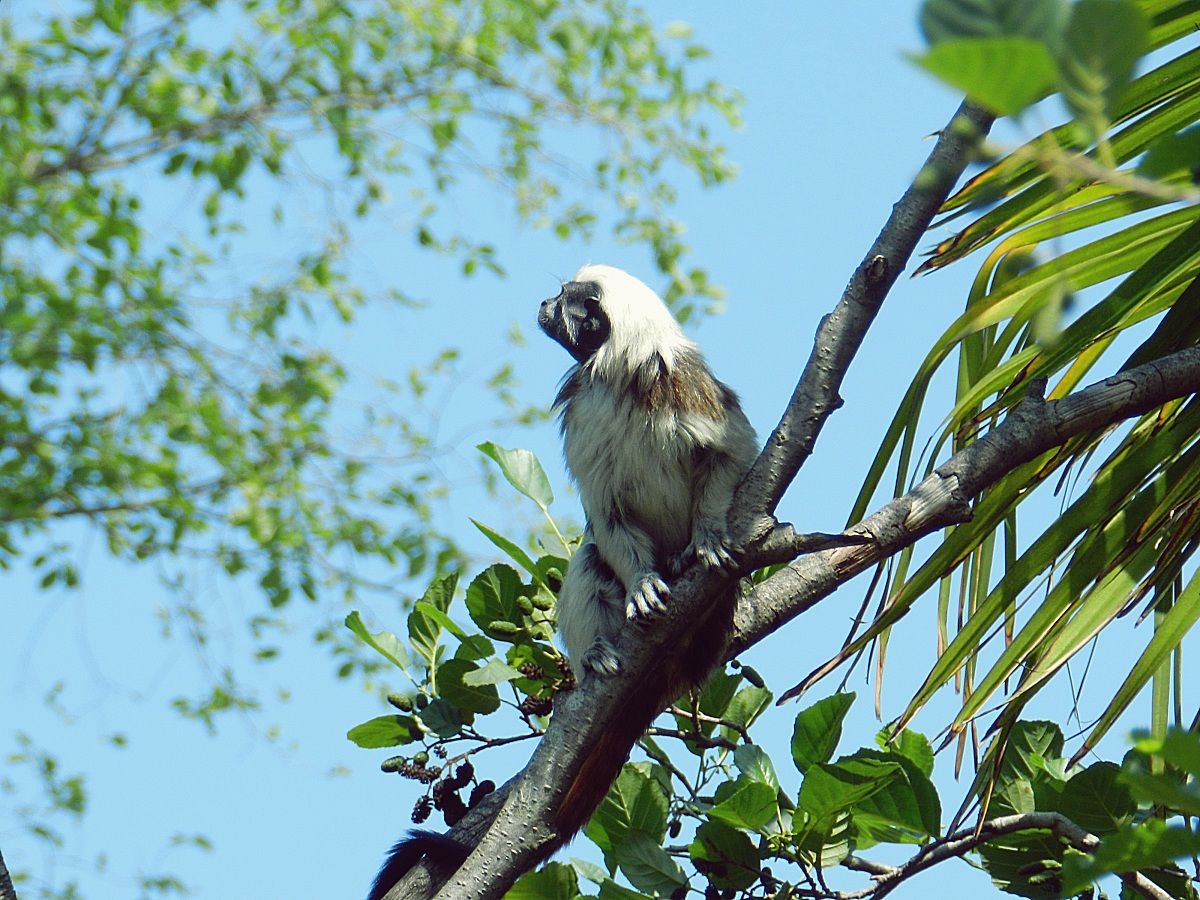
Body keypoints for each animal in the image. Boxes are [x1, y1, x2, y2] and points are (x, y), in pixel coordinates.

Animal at [366, 264, 755, 900]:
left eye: (564, 298)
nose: (543, 302)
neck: (618, 373)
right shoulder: (586, 416)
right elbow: (607, 515)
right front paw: (643, 582)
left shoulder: (689, 388)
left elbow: (731, 453)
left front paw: (708, 536)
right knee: (593, 558)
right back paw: (599, 649)